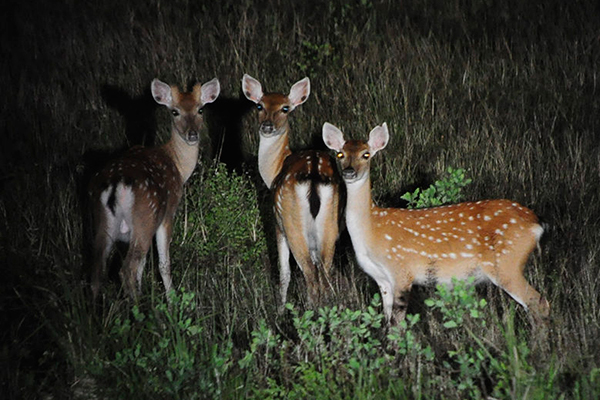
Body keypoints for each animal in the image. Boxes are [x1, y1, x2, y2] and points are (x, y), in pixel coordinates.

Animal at [89, 76, 220, 300]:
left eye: (200, 109)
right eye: (175, 111)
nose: (192, 135)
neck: (177, 166)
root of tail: (116, 184)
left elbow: (143, 268)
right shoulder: (168, 213)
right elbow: (163, 264)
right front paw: (172, 299)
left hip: (102, 221)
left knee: (97, 273)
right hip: (145, 216)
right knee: (127, 269)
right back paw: (140, 307)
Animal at [241, 73, 340, 308]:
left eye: (285, 108)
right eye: (260, 106)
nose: (267, 126)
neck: (275, 168)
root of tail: (314, 175)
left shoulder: (277, 224)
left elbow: (284, 273)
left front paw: (280, 309)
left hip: (292, 222)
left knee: (310, 277)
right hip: (330, 224)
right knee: (325, 275)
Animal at [322, 122, 552, 324]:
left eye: (366, 154)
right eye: (340, 154)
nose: (349, 171)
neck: (371, 231)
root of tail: (537, 223)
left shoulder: (402, 269)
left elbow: (398, 323)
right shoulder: (382, 279)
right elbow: (387, 320)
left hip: (506, 263)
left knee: (539, 302)